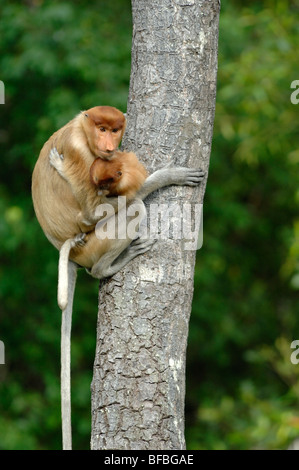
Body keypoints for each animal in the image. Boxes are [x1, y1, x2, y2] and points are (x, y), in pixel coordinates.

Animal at [31, 104, 205, 450]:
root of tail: (70, 250)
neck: (81, 130)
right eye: (101, 128)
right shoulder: (80, 152)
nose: (109, 144)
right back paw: (106, 267)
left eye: (114, 130)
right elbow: (94, 208)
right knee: (133, 206)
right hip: (92, 242)